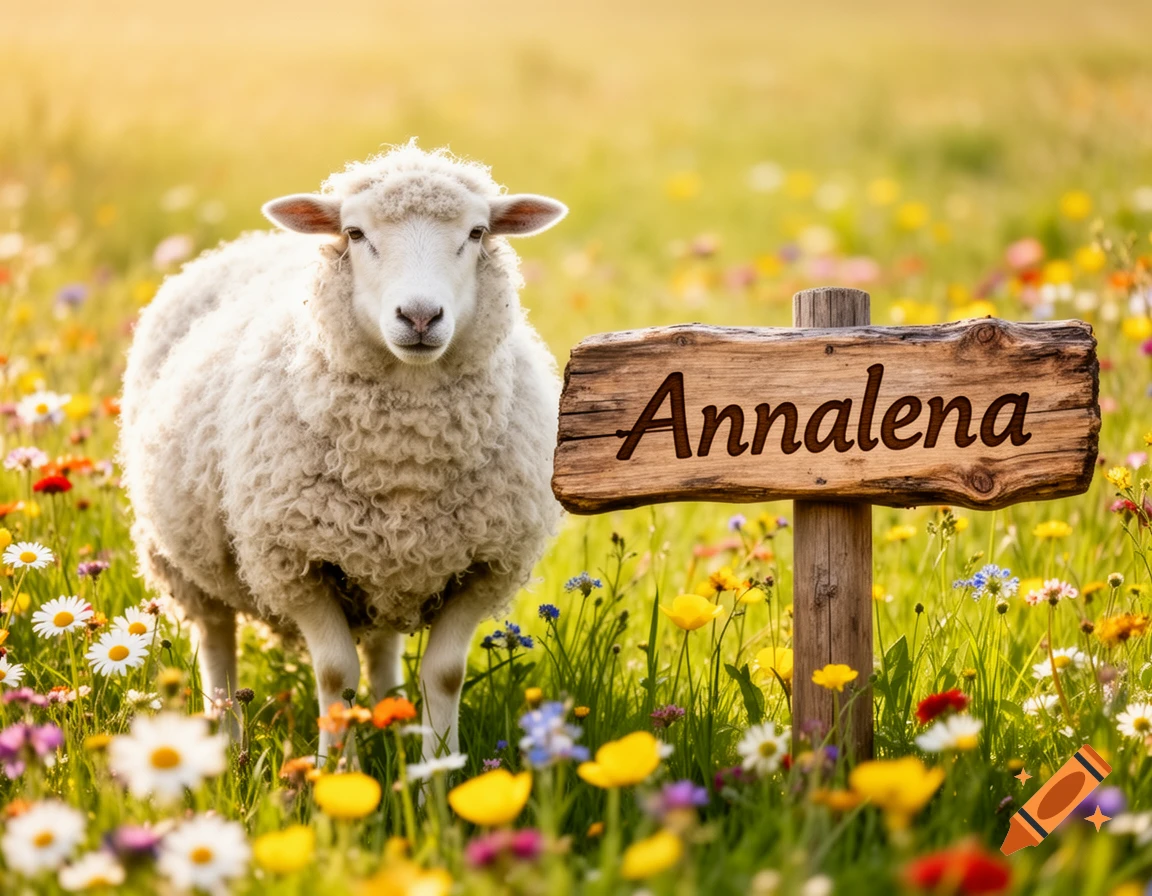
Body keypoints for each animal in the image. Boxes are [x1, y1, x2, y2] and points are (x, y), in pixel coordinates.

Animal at [118, 143, 567, 761]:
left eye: (476, 233)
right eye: (355, 234)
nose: (420, 316)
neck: (407, 453)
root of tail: (248, 242)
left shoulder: (484, 565)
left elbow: (444, 674)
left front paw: (439, 774)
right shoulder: (296, 562)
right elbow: (335, 675)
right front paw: (335, 773)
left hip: (389, 562)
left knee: (381, 646)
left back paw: (393, 720)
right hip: (182, 559)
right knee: (216, 645)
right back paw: (228, 745)